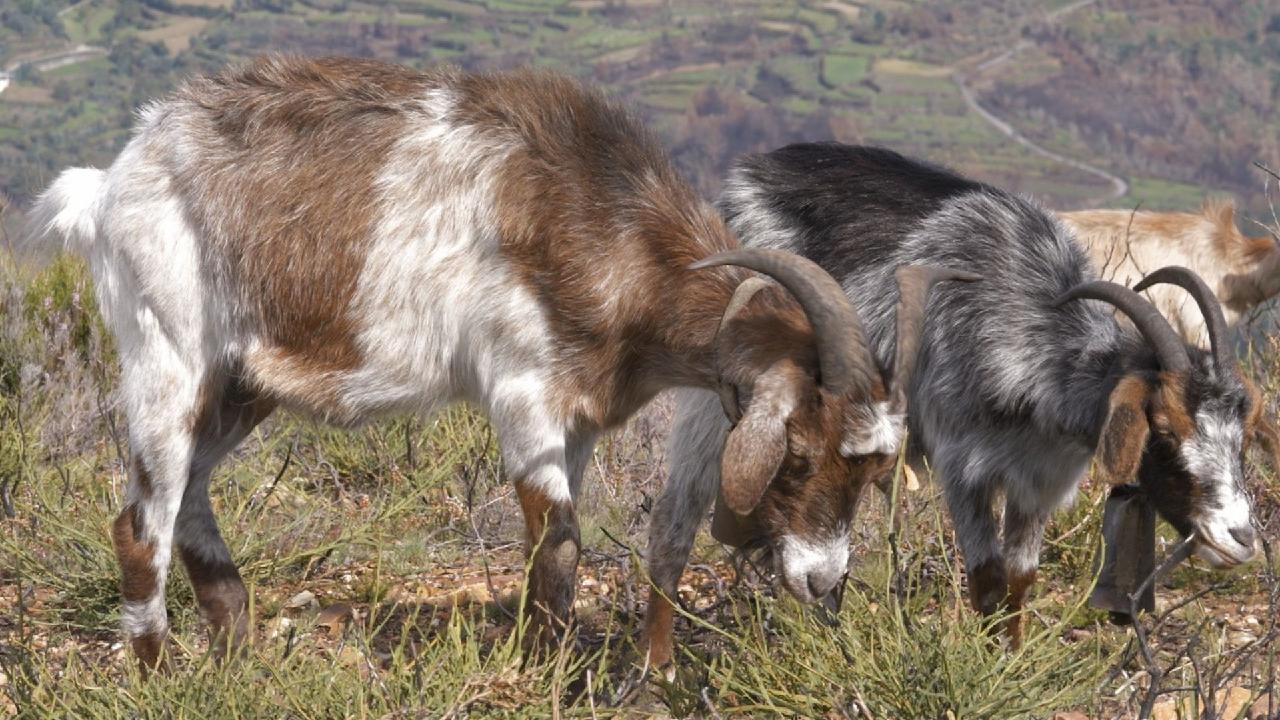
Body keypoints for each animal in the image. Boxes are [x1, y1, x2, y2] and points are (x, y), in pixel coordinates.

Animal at [22, 57, 967, 671]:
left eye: (871, 473)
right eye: (796, 455)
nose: (823, 582)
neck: (606, 226)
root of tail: (111, 180)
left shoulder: (581, 419)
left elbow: (561, 540)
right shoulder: (523, 394)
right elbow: (558, 544)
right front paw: (545, 671)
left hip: (242, 381)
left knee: (190, 496)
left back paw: (237, 650)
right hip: (167, 352)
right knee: (139, 522)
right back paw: (160, 670)